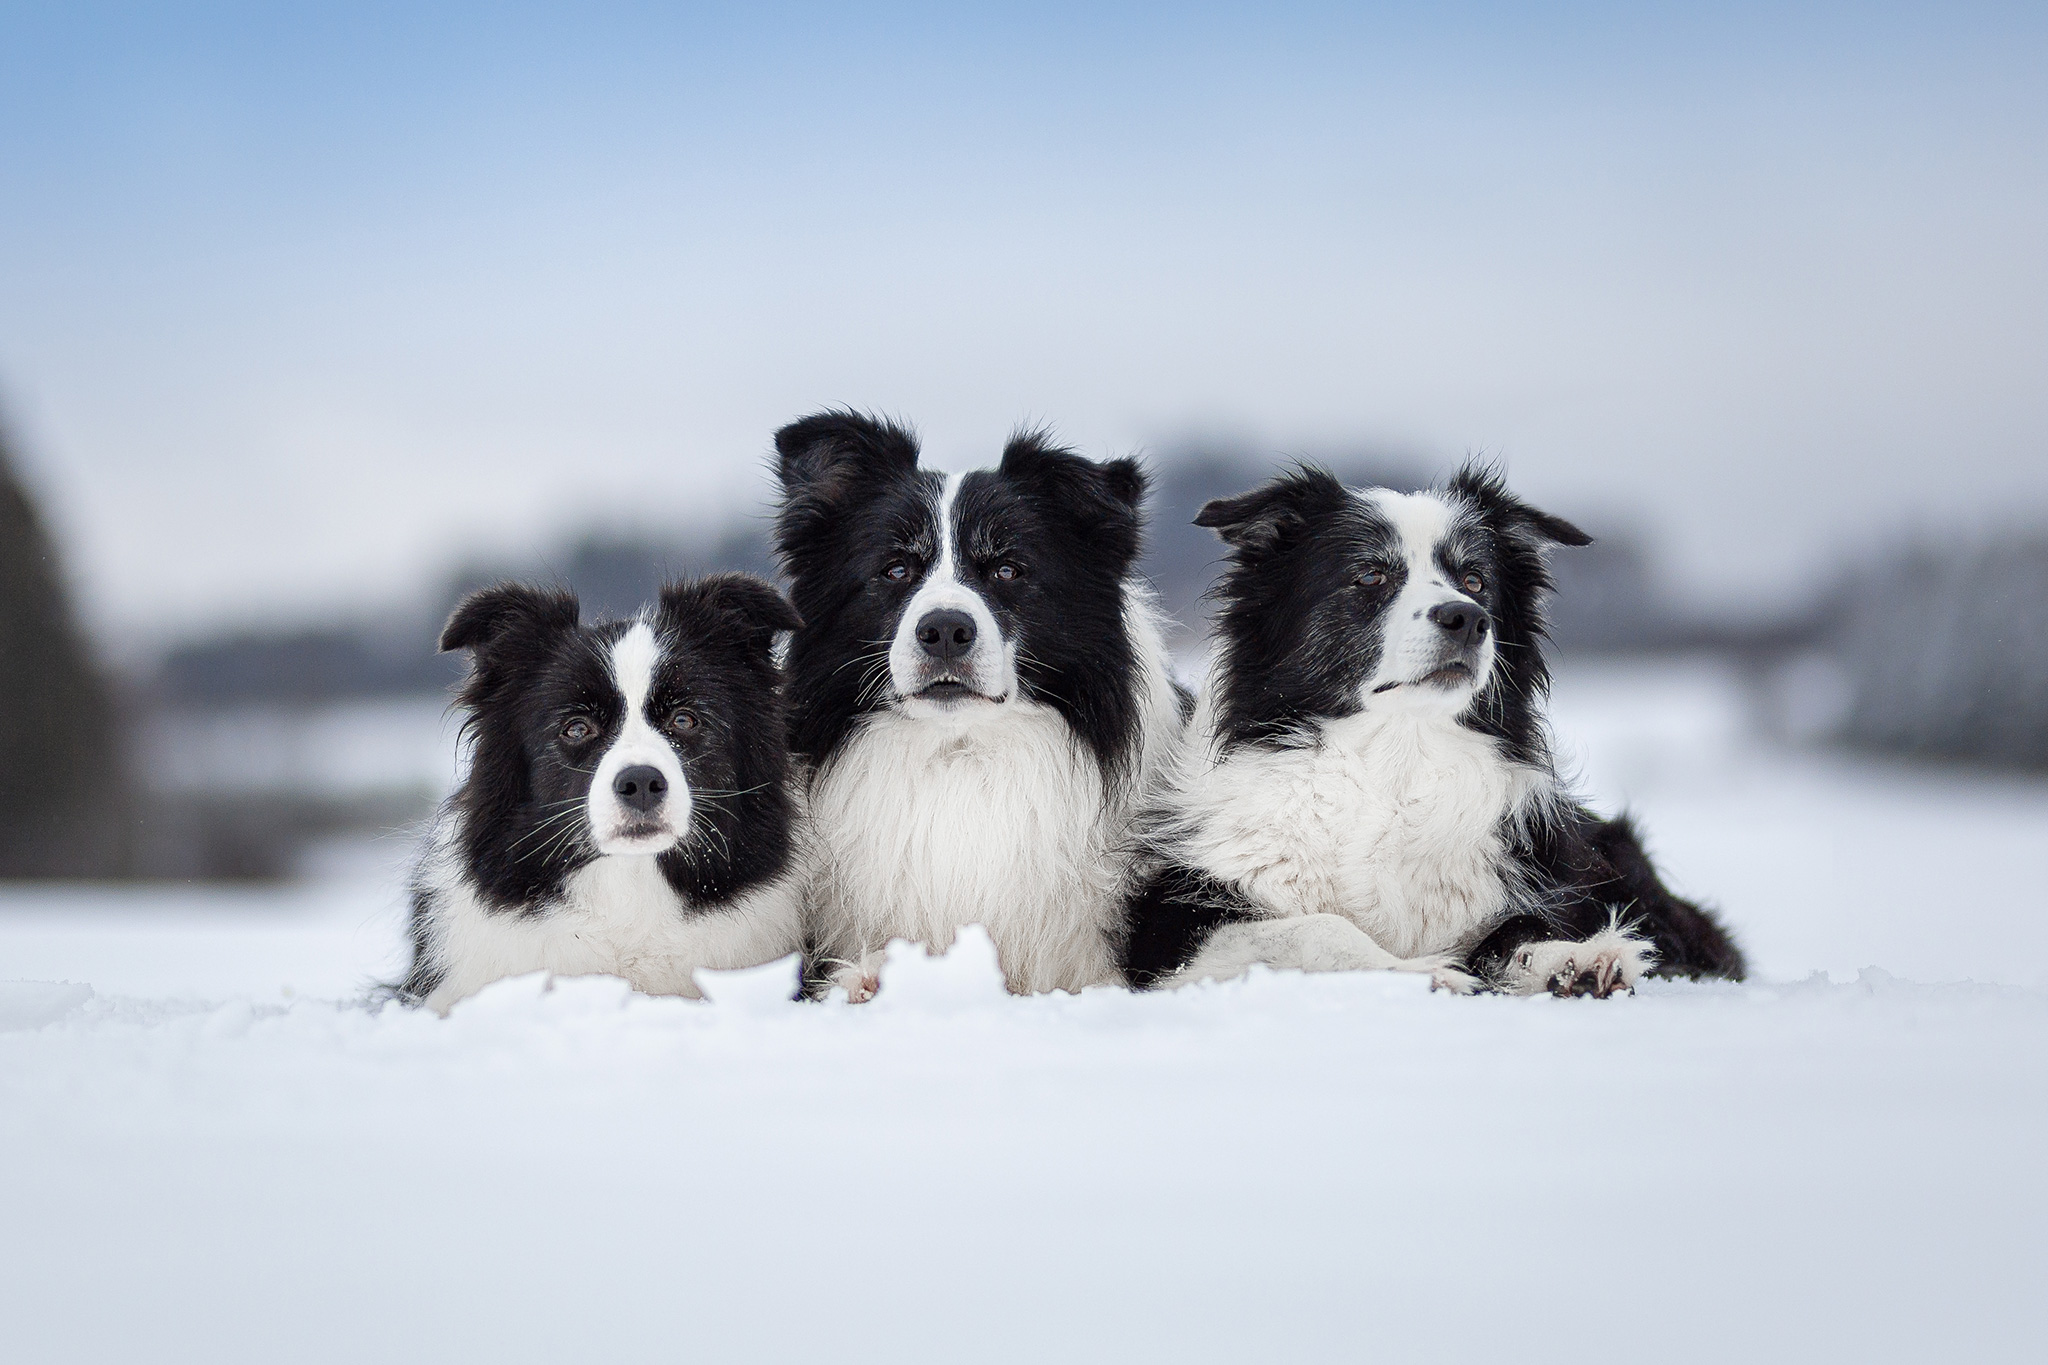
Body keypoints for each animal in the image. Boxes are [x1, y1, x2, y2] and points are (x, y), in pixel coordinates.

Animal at [1122, 464, 1744, 998]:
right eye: (1371, 574)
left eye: (1474, 579)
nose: (1467, 617)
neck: (1392, 761)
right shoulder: (1171, 929)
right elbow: (1320, 927)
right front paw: (1418, 971)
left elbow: (1519, 932)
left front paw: (1574, 959)